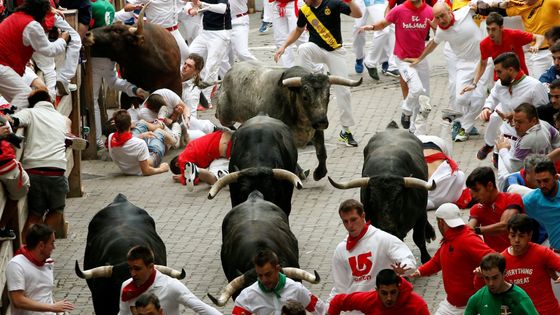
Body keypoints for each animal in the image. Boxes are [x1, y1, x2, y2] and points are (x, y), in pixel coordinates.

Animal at [328, 123, 438, 264]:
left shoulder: (420, 214)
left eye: (399, 200)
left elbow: (418, 237)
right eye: (372, 201)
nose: (387, 228)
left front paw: (426, 258)